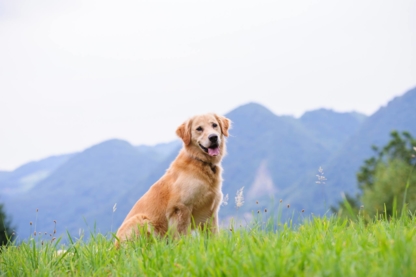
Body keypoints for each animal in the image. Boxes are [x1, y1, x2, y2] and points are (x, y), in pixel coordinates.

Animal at [114, 111, 231, 245]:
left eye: (214, 125)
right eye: (199, 129)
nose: (213, 137)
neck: (200, 162)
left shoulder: (211, 210)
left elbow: (213, 235)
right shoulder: (181, 207)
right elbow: (183, 234)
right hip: (142, 220)